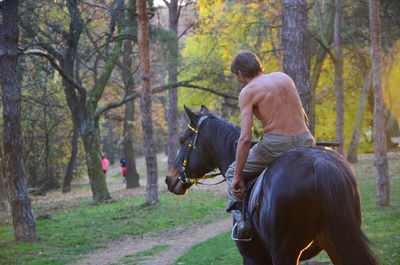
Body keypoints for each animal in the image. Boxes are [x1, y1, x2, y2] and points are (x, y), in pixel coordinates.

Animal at [164, 105, 380, 264]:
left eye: (182, 140)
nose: (169, 179)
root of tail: (321, 165)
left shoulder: (252, 256)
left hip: (285, 253)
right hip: (335, 242)